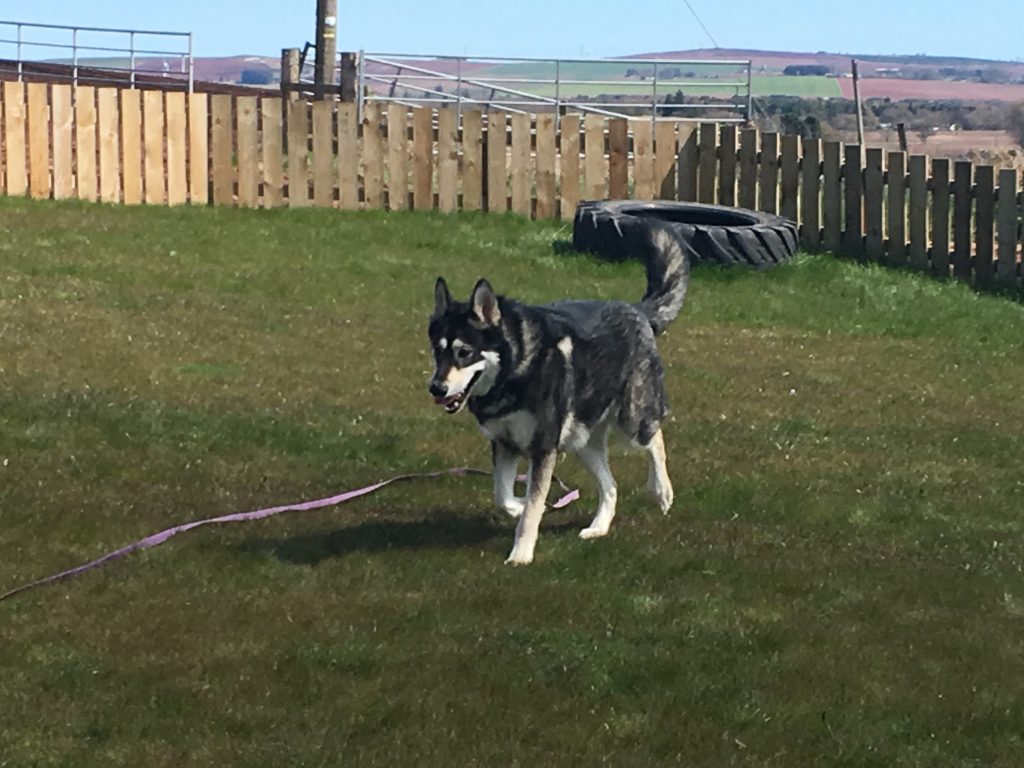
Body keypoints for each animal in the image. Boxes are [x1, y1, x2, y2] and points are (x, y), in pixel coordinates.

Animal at [423, 224, 688, 565]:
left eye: (464, 352)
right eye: (437, 351)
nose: (436, 388)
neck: (515, 371)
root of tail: (637, 310)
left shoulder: (543, 449)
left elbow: (533, 509)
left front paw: (521, 554)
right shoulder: (504, 443)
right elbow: (502, 495)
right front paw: (518, 505)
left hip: (630, 420)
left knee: (655, 439)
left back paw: (661, 491)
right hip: (581, 440)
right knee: (611, 486)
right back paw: (599, 527)